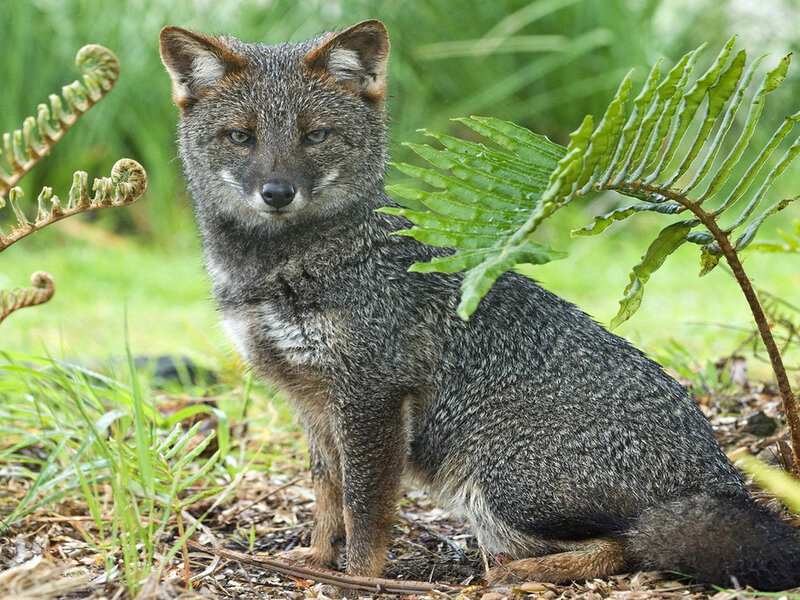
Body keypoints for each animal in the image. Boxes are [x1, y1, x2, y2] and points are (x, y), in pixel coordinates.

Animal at [159, 20, 800, 591]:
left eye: (314, 136)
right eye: (241, 137)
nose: (276, 193)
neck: (275, 272)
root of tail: (718, 476)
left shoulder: (372, 396)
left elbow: (366, 513)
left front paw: (355, 581)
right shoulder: (313, 401)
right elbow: (327, 498)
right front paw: (316, 562)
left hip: (496, 485)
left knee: (630, 545)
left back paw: (521, 574)